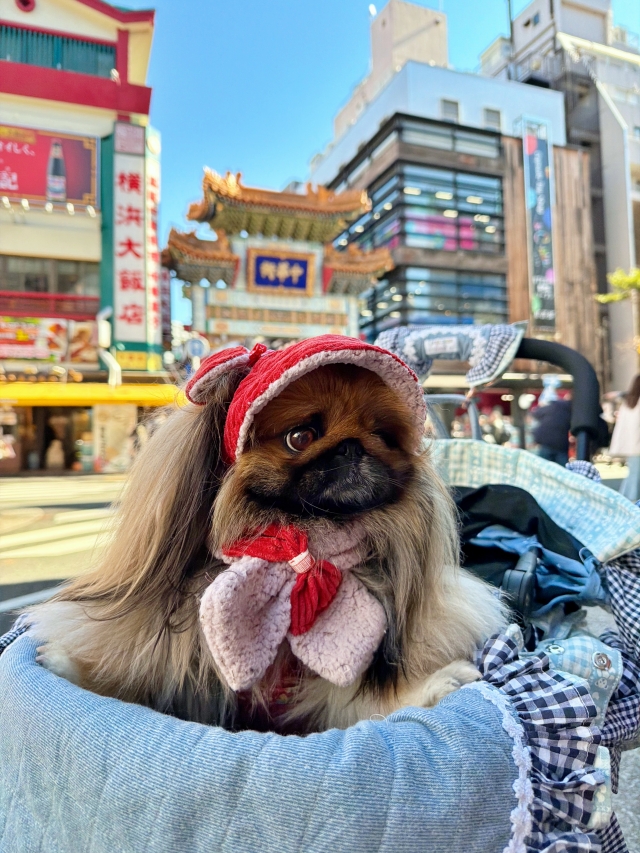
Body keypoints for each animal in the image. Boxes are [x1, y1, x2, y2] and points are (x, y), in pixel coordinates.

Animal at [31, 337, 506, 733]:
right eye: (301, 436)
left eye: (383, 436)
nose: (353, 446)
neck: (303, 545)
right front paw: (67, 666)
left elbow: (367, 702)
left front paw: (438, 684)